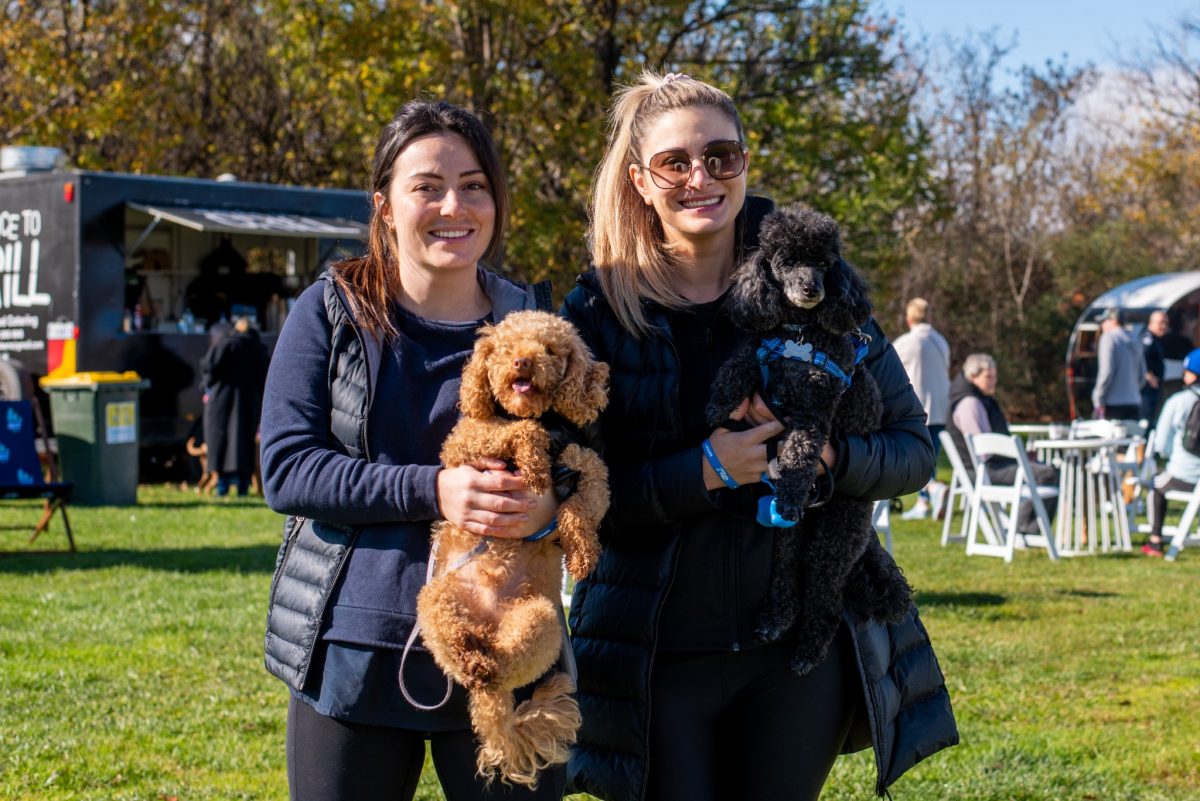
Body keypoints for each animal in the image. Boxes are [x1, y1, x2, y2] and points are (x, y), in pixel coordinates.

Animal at [420, 309, 609, 786]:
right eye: (505, 348)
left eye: (551, 350)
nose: (523, 362)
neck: (545, 420)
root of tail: (488, 625)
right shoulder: (466, 442)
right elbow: (514, 431)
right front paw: (533, 456)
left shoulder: (588, 460)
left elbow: (587, 500)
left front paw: (582, 549)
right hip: (436, 600)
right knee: (462, 652)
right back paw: (471, 657)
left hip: (539, 618)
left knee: (504, 668)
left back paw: (489, 665)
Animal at [710, 203, 907, 671]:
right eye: (786, 261)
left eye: (824, 264)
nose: (810, 288)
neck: (798, 336)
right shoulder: (760, 352)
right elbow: (740, 362)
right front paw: (718, 402)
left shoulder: (814, 414)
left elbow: (800, 452)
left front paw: (793, 475)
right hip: (790, 536)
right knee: (786, 572)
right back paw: (775, 620)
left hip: (836, 534)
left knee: (825, 595)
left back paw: (808, 650)